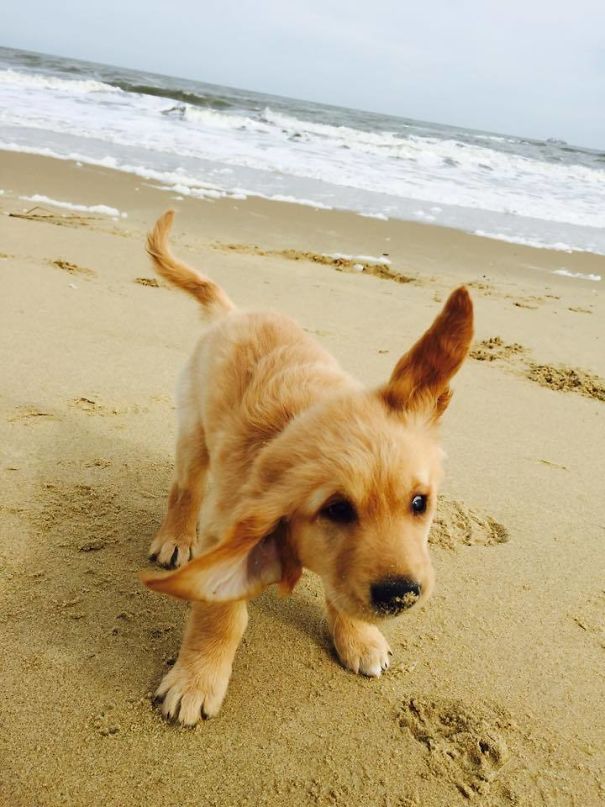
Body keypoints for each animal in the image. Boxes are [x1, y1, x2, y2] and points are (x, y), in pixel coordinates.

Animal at [142, 210, 472, 724]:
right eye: (337, 510)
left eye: (420, 502)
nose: (401, 594)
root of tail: (234, 311)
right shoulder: (226, 529)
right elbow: (221, 613)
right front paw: (196, 679)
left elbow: (342, 592)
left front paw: (359, 637)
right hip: (195, 429)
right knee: (186, 487)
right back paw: (175, 538)